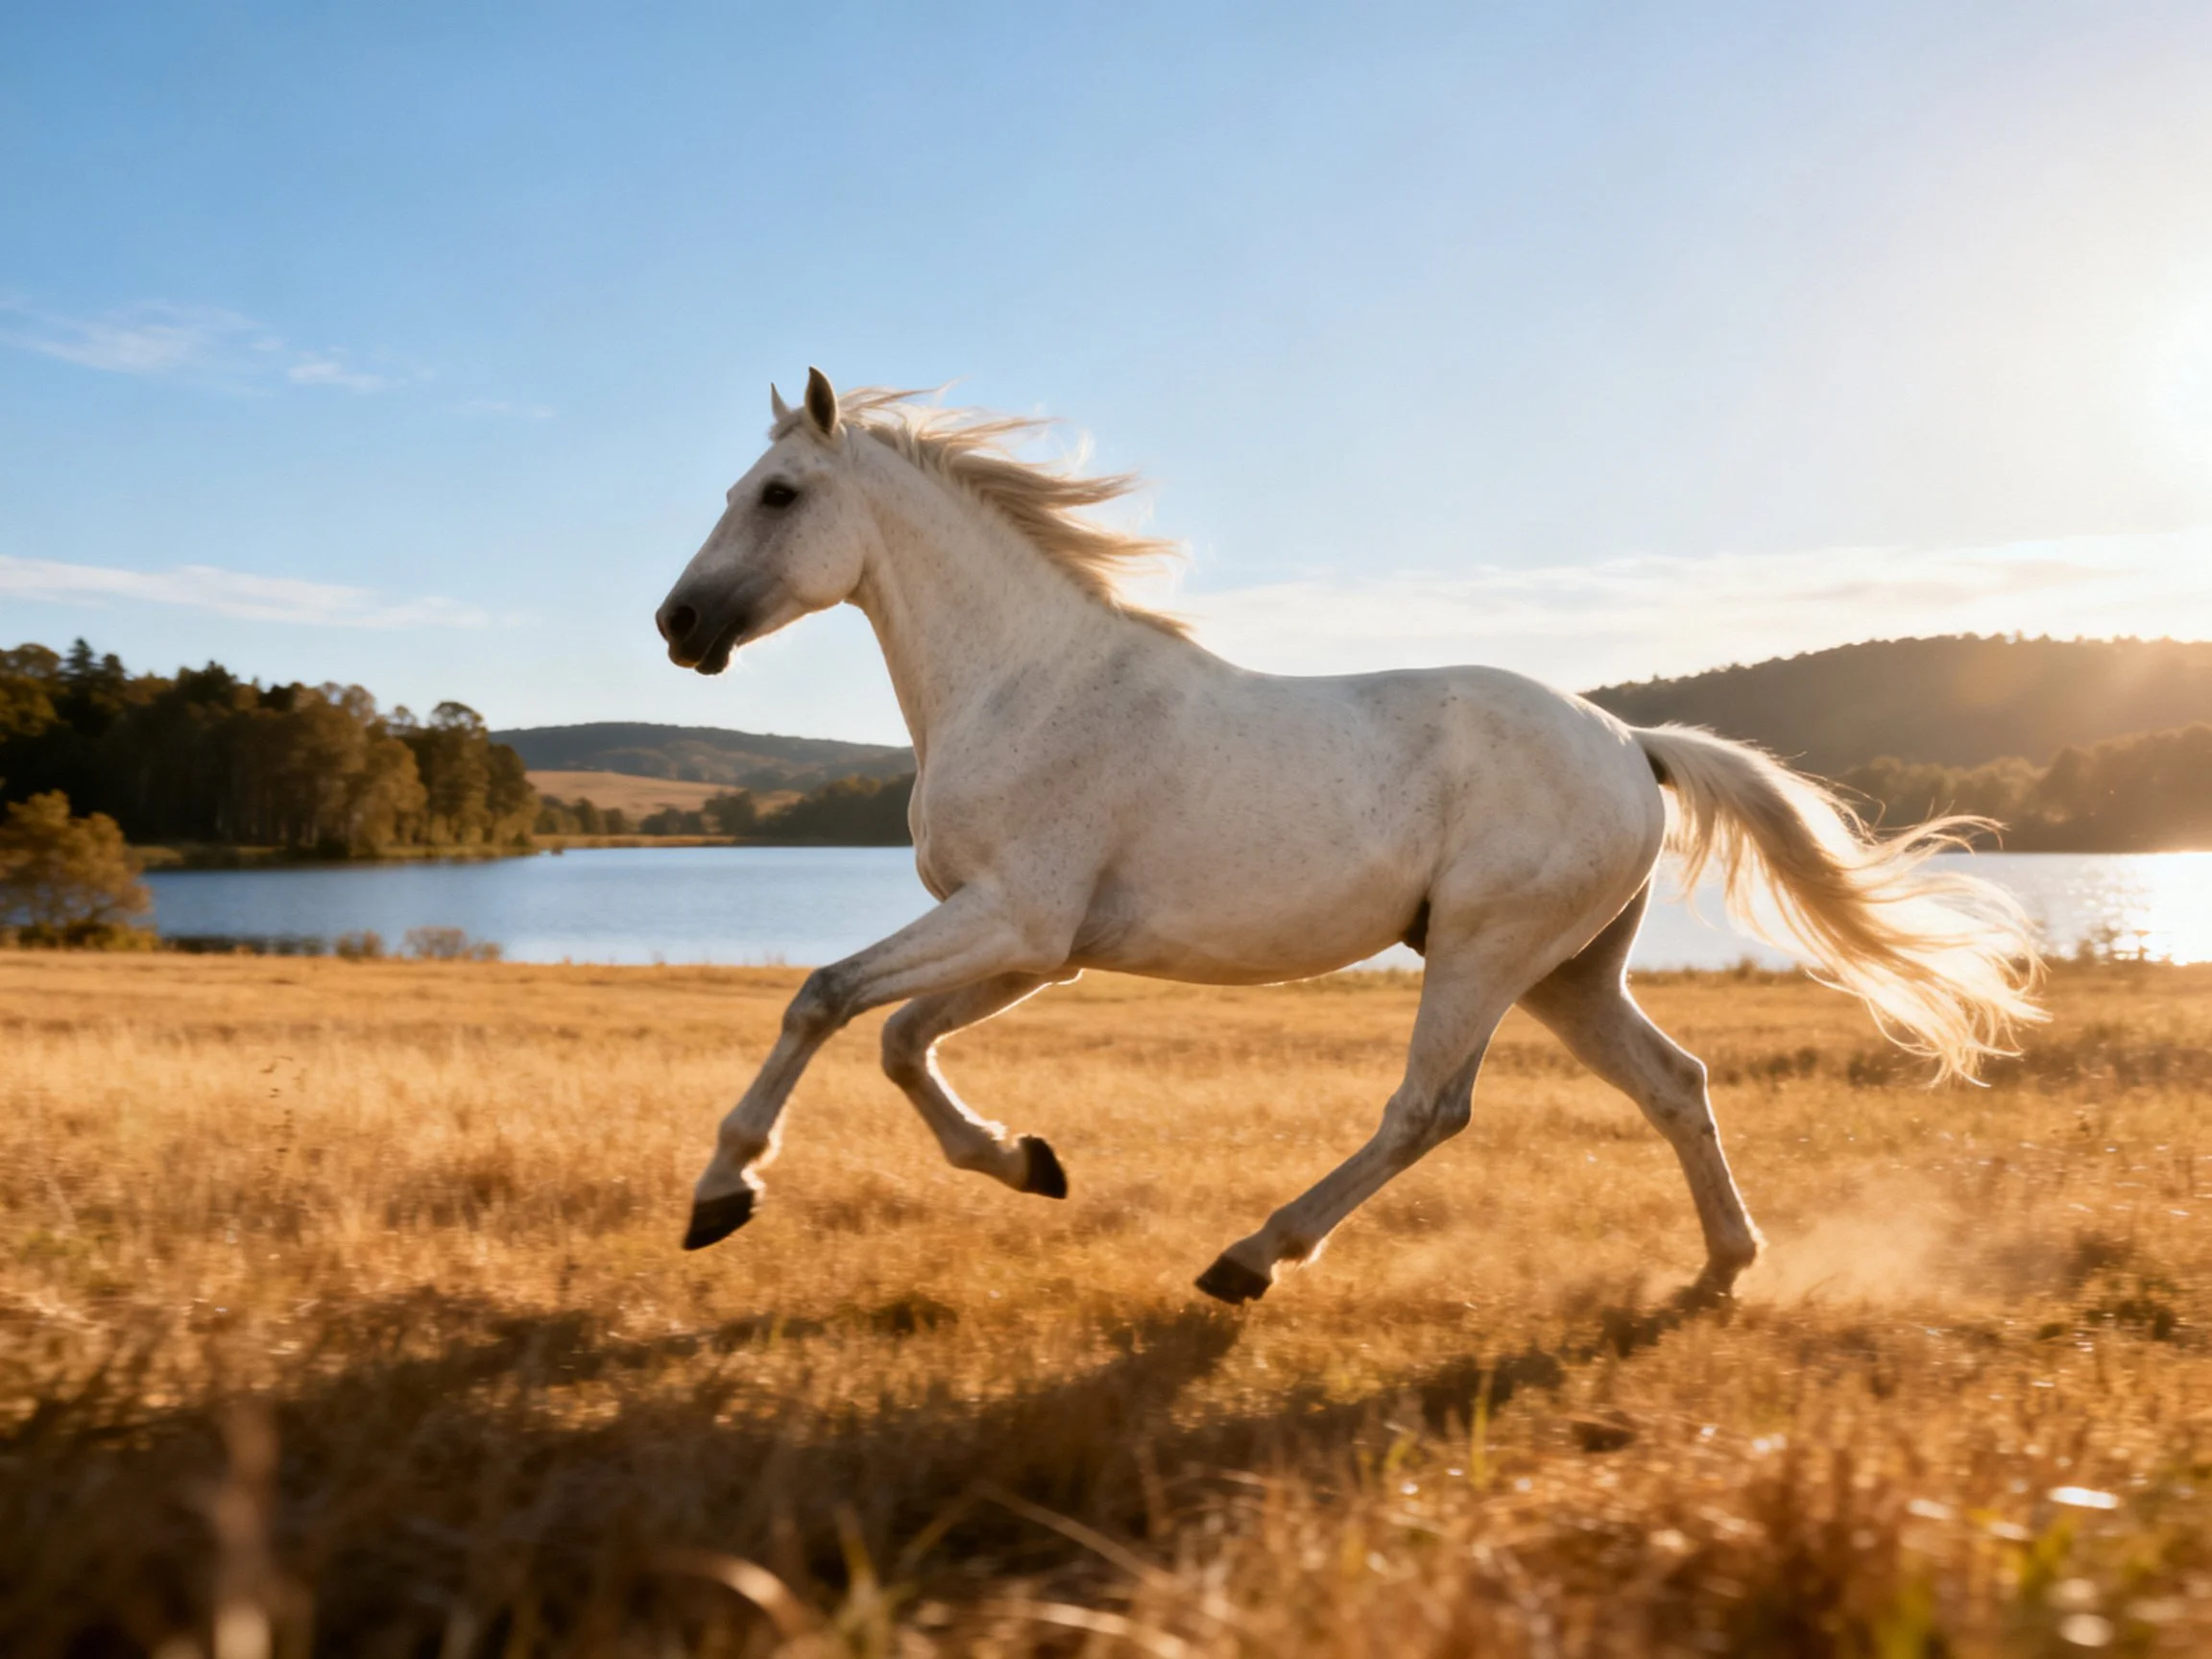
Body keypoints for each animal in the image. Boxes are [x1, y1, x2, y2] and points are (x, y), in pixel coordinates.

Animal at [653, 369, 2041, 1305]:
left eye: (778, 493)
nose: (678, 625)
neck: (1028, 684)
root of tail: (1630, 744)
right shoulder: (1036, 949)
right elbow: (898, 1041)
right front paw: (1025, 1162)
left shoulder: (1013, 918)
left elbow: (825, 999)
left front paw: (724, 1194)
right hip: (1569, 975)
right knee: (1674, 1083)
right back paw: (1723, 1269)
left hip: (1486, 951)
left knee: (1428, 1108)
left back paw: (1250, 1258)